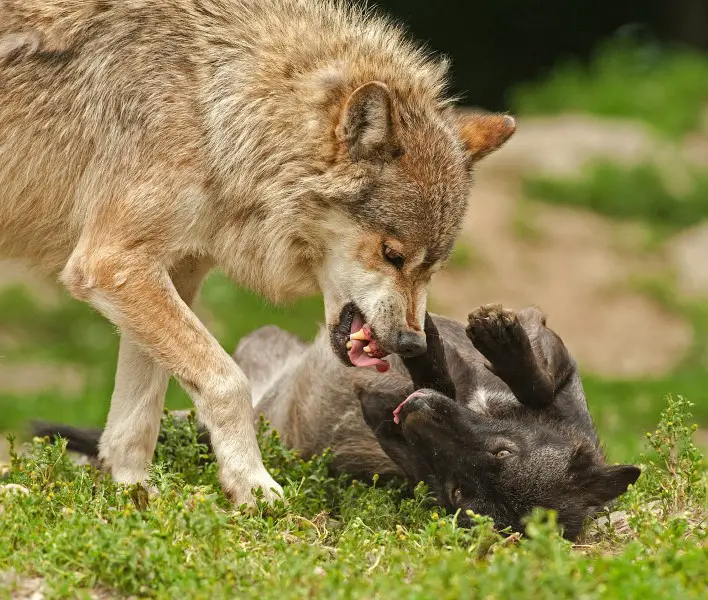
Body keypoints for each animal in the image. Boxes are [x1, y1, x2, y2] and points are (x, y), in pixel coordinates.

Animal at [0, 0, 516, 504]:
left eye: (432, 268)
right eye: (392, 255)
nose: (413, 343)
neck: (216, 113)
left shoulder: (171, 272)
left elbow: (140, 409)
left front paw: (132, 493)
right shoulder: (112, 263)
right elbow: (228, 382)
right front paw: (252, 484)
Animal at [35, 304, 640, 539]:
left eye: (459, 493)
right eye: (502, 453)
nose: (410, 410)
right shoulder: (551, 363)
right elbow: (532, 376)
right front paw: (494, 343)